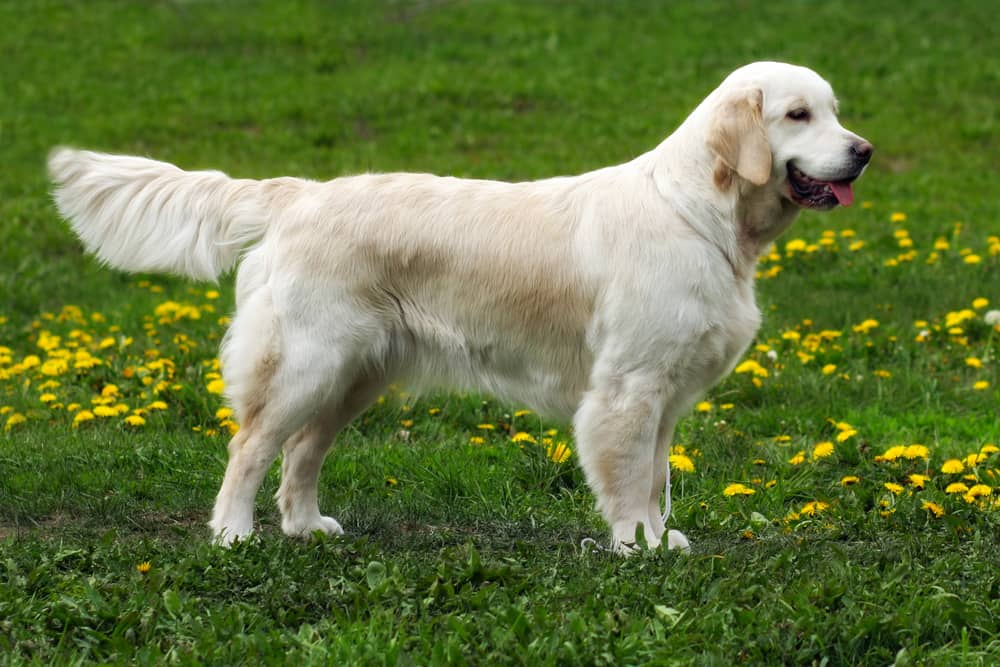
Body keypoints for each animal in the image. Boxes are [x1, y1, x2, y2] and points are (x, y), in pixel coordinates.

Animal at [50, 61, 872, 552]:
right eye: (798, 115)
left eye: (835, 111)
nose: (862, 151)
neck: (703, 214)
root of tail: (300, 194)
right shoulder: (627, 389)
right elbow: (630, 478)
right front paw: (635, 545)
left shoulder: (664, 393)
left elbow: (656, 477)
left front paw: (658, 540)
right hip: (309, 362)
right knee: (250, 446)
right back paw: (235, 534)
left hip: (356, 375)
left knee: (301, 452)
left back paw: (307, 525)